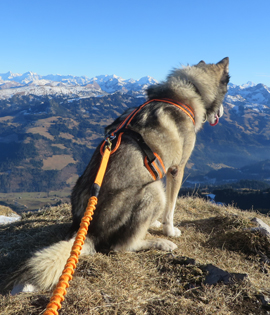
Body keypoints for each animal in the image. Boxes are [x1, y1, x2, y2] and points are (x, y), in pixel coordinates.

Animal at [10, 58, 230, 296]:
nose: (223, 111)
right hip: (154, 191)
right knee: (121, 246)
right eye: (227, 89)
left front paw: (157, 223)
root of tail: (90, 230)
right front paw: (169, 231)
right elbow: (171, 210)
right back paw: (160, 243)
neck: (186, 92)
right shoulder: (176, 170)